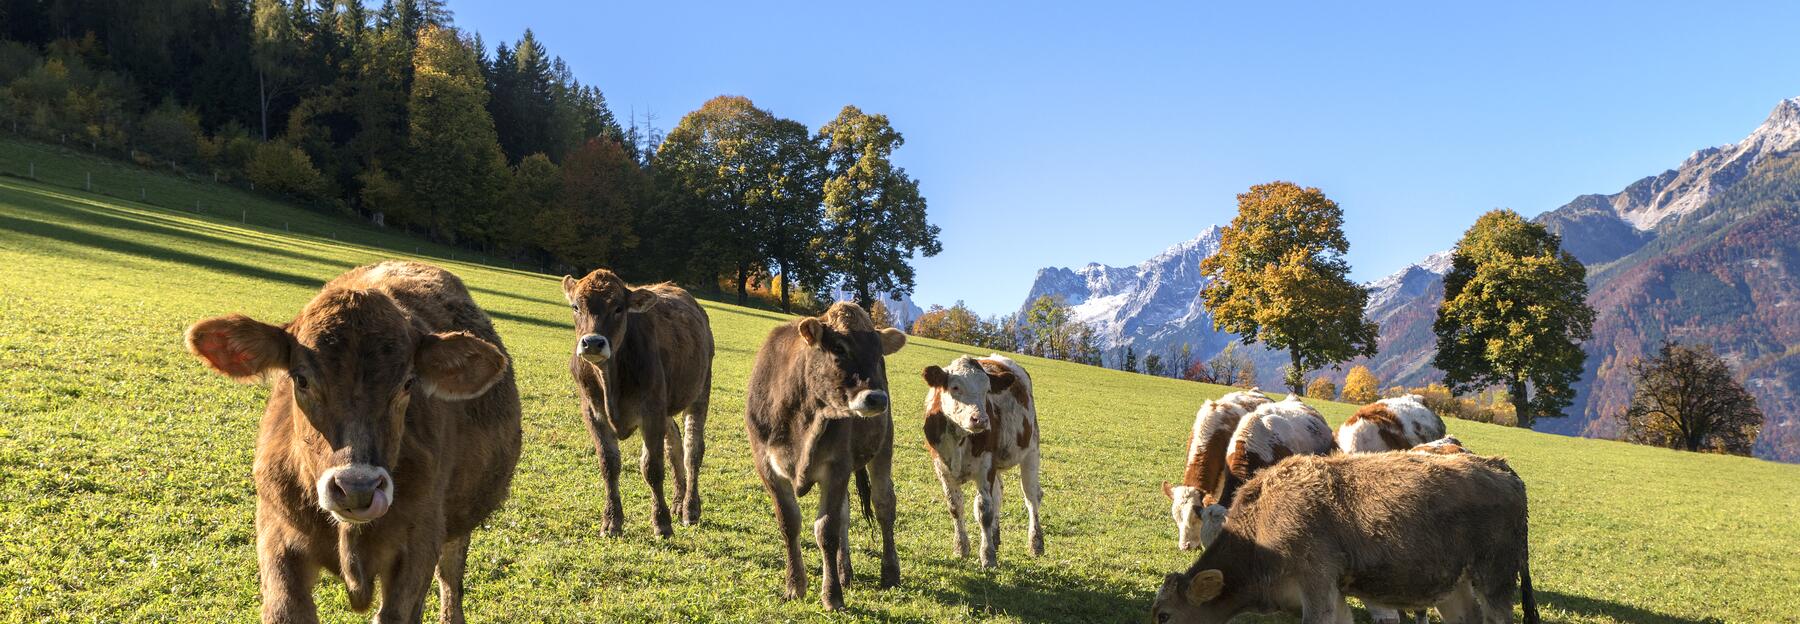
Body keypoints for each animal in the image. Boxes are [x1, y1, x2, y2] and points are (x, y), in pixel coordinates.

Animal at [184, 261, 521, 623]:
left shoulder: (420, 542)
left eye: (408, 383)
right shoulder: (276, 532)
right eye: (301, 379)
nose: (357, 488)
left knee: (450, 577)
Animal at [562, 268, 714, 538]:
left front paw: (661, 523)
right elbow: (609, 464)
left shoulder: (651, 412)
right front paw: (612, 521)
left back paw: (690, 508)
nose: (593, 342)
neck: (610, 380)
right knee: (674, 444)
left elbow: (652, 468)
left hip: (700, 390)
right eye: (576, 306)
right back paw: (678, 501)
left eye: (618, 308)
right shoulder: (592, 413)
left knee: (692, 449)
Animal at [744, 302, 908, 611]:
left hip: (883, 447)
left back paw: (890, 572)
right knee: (845, 512)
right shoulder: (767, 467)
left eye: (879, 353)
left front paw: (832, 596)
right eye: (839, 348)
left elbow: (826, 530)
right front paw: (795, 586)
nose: (877, 398)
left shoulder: (837, 466)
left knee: (884, 505)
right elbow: (789, 523)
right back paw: (845, 572)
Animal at [920, 354, 1043, 567]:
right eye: (955, 387)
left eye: (987, 390)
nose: (981, 420)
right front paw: (961, 548)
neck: (959, 437)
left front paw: (988, 556)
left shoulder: (986, 466)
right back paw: (995, 536)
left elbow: (984, 510)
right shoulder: (942, 468)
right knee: (998, 495)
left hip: (1031, 450)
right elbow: (955, 506)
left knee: (1031, 498)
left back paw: (1036, 543)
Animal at [1151, 453, 1539, 624]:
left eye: (1165, 616)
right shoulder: (1332, 592)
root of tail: (1499, 466)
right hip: (1454, 585)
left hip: (1495, 579)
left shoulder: (1316, 583)